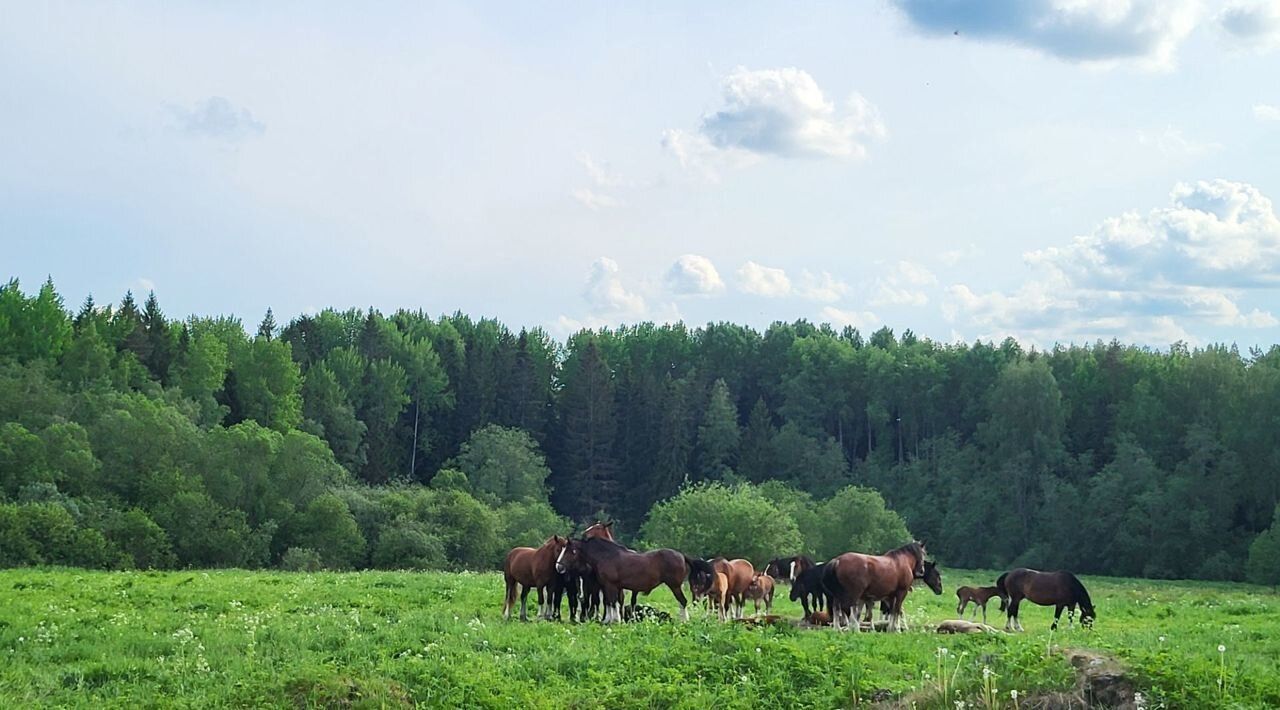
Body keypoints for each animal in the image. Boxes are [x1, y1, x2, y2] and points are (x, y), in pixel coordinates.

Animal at [558, 537, 696, 624]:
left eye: (571, 551)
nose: (559, 566)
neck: (606, 556)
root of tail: (682, 556)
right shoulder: (608, 587)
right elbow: (610, 602)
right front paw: (608, 620)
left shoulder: (610, 585)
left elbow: (612, 602)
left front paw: (615, 620)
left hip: (675, 586)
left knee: (682, 601)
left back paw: (684, 621)